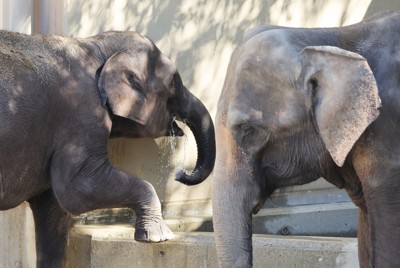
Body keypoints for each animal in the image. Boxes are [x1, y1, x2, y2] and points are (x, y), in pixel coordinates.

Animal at [0, 29, 216, 266]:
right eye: (174, 82)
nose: (180, 174)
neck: (96, 46)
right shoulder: (82, 116)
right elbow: (77, 189)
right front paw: (159, 237)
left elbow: (53, 207)